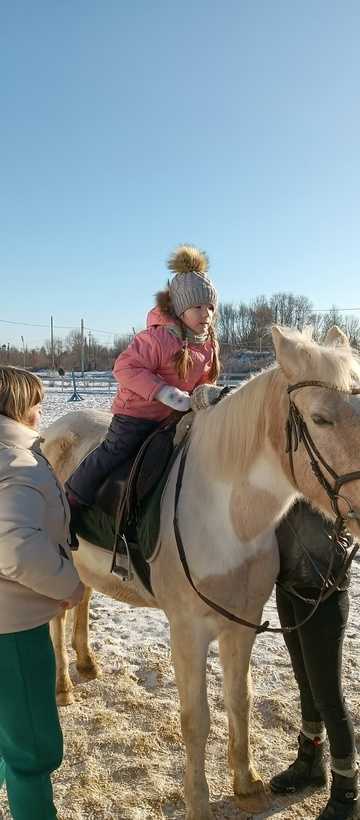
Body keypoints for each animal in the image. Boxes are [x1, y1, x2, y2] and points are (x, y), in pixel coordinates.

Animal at [42, 326, 360, 820]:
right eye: (321, 419)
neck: (227, 516)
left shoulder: (241, 626)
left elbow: (239, 700)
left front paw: (247, 784)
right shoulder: (188, 633)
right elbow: (197, 720)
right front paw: (198, 802)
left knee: (84, 601)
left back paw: (87, 663)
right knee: (57, 619)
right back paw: (62, 686)